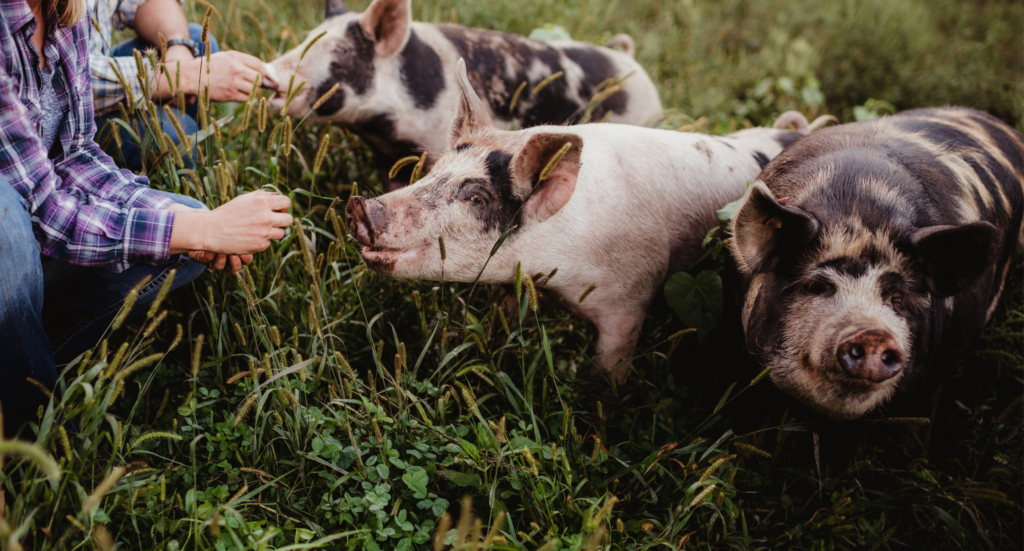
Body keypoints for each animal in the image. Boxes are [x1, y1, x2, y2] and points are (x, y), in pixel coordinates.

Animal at [266, 0, 663, 188]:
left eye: (343, 51)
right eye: (308, 38)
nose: (267, 73)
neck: (381, 131)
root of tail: (629, 61)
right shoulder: (389, 158)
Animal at [348, 57, 827, 378]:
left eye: (478, 196)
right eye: (434, 171)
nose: (360, 208)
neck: (555, 273)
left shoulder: (632, 298)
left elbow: (609, 368)